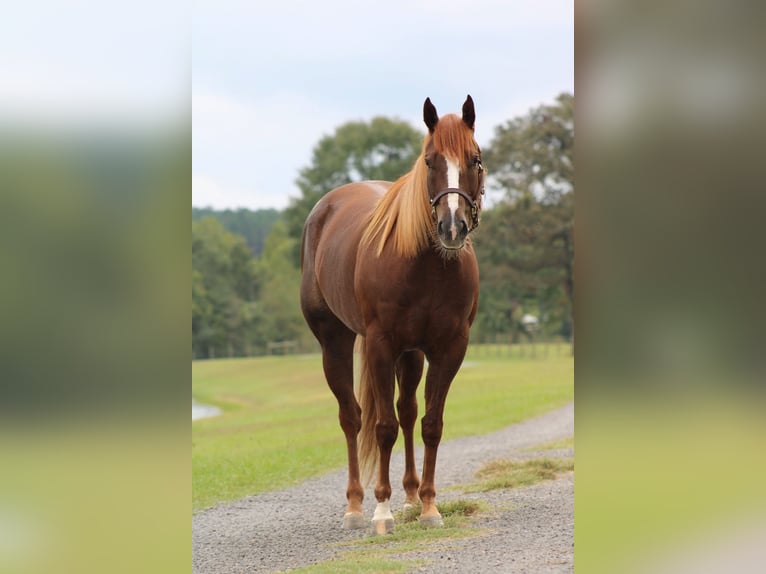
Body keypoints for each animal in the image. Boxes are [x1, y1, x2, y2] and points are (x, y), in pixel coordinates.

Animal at [302, 95, 486, 536]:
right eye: (430, 161)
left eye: (474, 159)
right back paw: (356, 506)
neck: (426, 266)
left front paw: (429, 506)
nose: (451, 228)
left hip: (411, 353)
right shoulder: (381, 346)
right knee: (352, 417)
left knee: (407, 413)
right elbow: (381, 427)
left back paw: (410, 496)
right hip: (335, 343)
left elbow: (430, 424)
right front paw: (381, 511)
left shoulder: (448, 349)